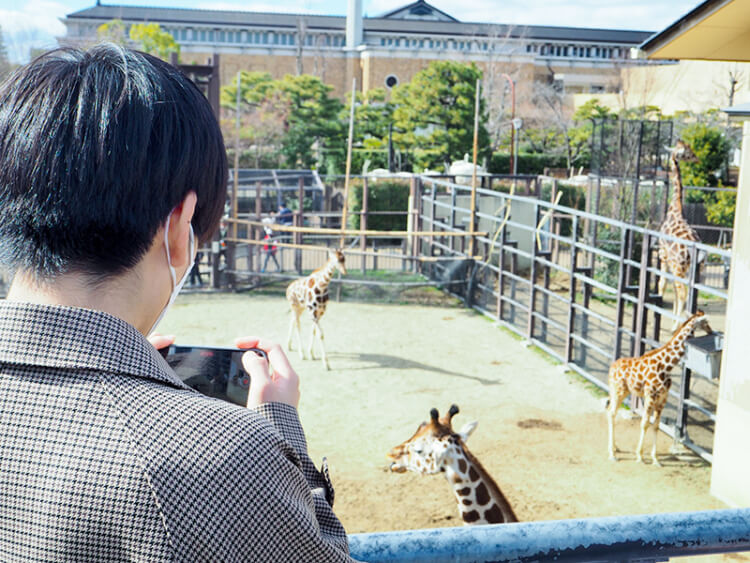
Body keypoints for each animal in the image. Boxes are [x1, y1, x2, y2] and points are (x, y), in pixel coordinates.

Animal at [608, 310, 712, 464]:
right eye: (705, 322)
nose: (711, 331)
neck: (666, 366)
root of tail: (611, 368)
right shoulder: (650, 396)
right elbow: (645, 423)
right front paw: (640, 456)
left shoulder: (663, 398)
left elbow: (656, 425)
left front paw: (655, 458)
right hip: (619, 391)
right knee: (611, 413)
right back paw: (612, 453)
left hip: (622, 391)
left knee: (610, 411)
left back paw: (615, 448)